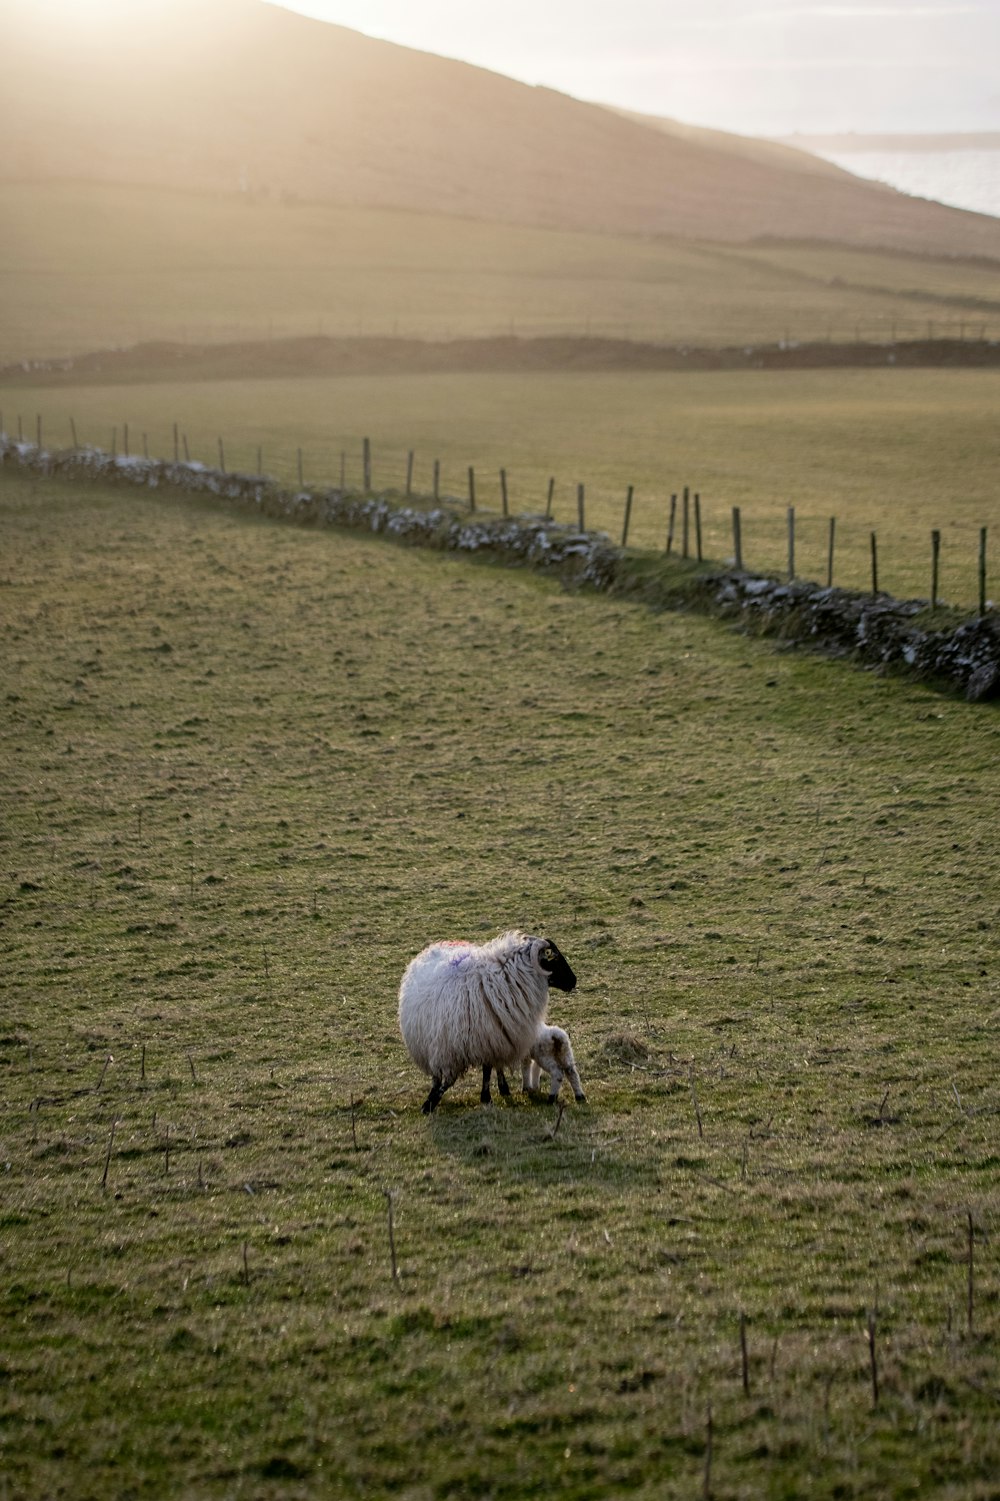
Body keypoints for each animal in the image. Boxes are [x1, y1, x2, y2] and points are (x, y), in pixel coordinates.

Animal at [393, 924, 573, 1116]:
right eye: (554, 959)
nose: (574, 981)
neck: (503, 977)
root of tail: (436, 945)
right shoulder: (456, 1046)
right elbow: (446, 1079)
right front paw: (431, 1101)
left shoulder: (490, 1039)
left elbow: (487, 1071)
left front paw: (486, 1097)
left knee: (497, 1065)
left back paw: (504, 1088)